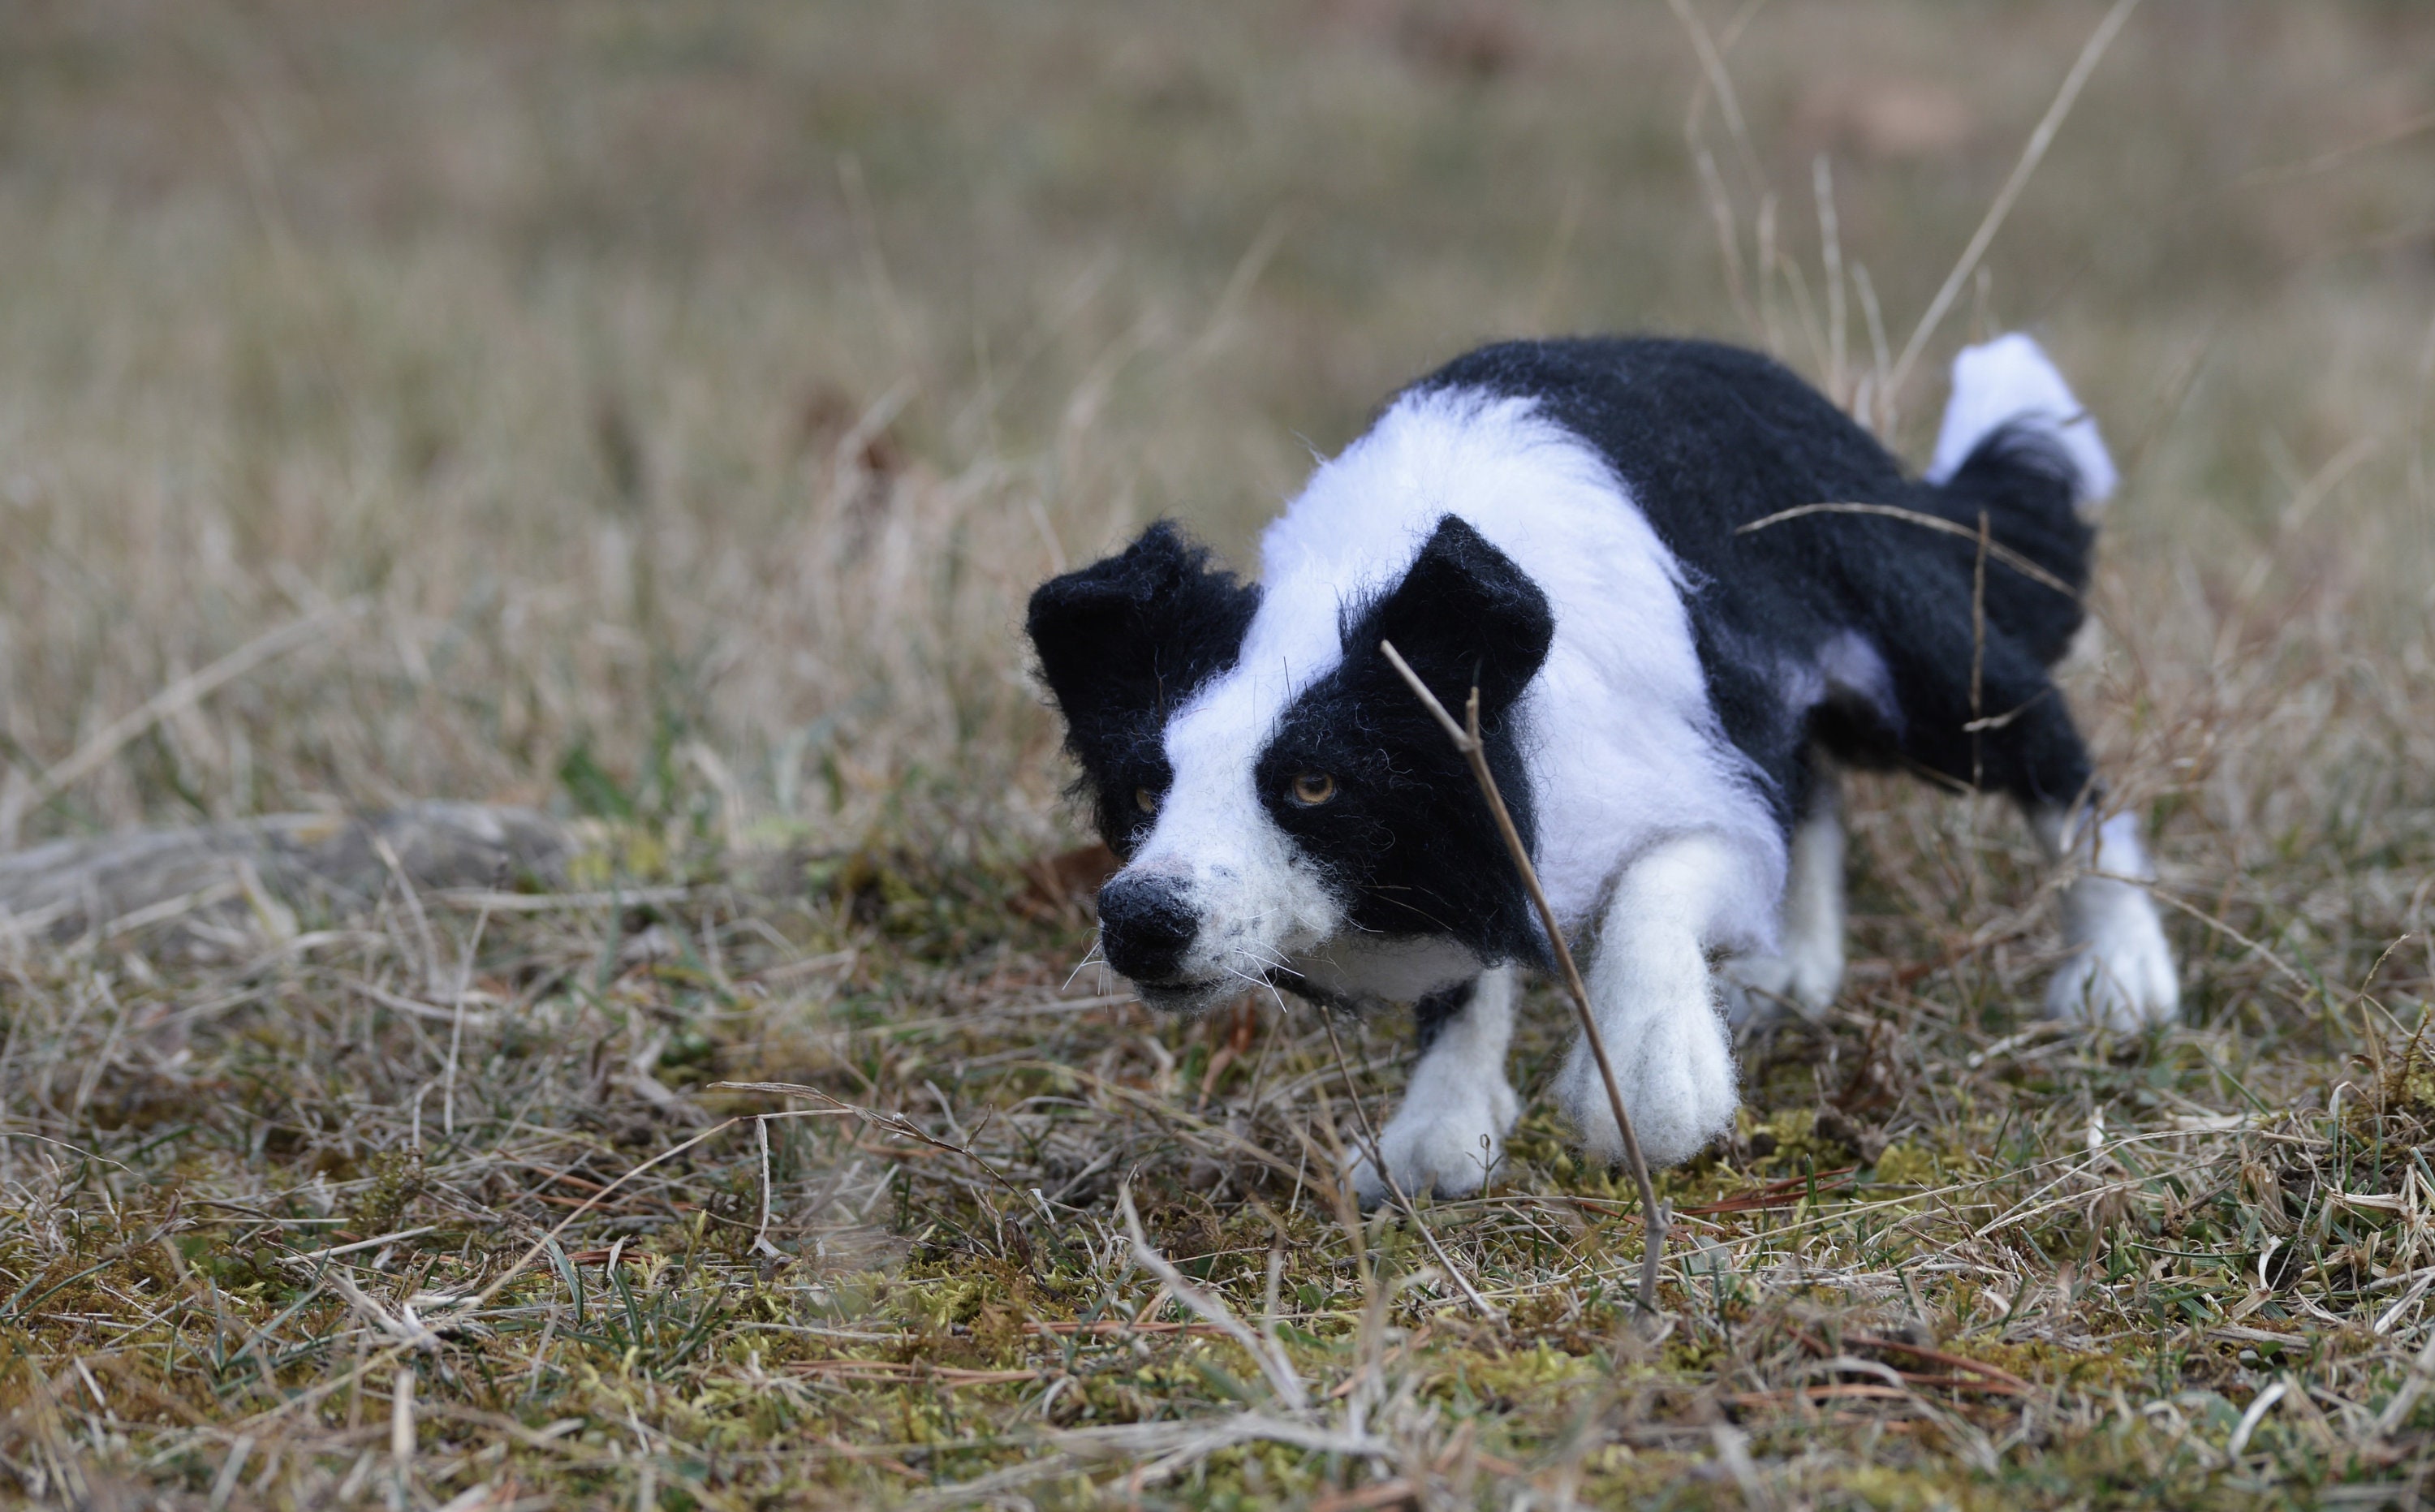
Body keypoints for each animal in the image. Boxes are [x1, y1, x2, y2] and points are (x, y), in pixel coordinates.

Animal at [1018, 336, 2182, 1198]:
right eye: (1143, 790)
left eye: (1313, 784)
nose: (1140, 919)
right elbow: (1468, 981)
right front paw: (1441, 1129)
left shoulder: (1689, 783)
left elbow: (1658, 884)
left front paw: (1653, 1080)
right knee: (1815, 790)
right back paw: (1795, 969)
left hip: (1926, 661)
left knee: (2055, 767)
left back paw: (2119, 971)